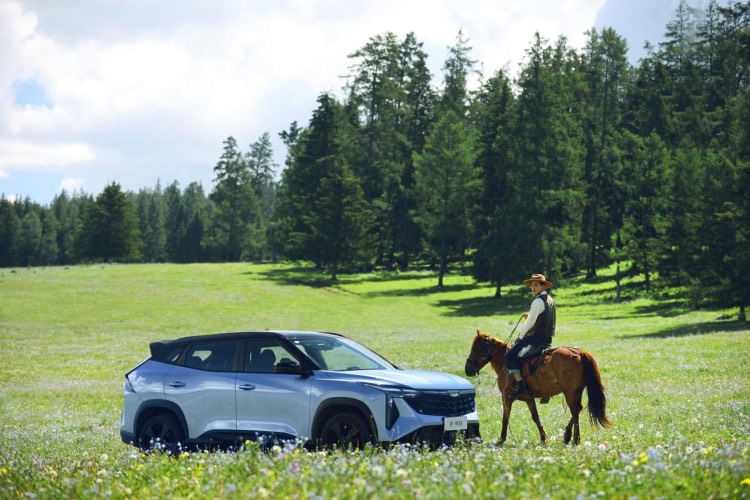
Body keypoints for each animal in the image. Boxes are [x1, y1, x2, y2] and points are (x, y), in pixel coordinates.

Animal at [468, 330, 612, 444]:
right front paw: (543, 437)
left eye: (476, 348)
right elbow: (535, 417)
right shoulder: (529, 398)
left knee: (575, 410)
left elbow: (505, 416)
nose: (467, 369)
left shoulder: (506, 396)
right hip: (576, 391)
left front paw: (502, 438)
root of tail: (579, 353)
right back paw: (567, 436)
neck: (505, 363)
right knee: (578, 409)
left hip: (570, 392)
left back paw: (575, 439)